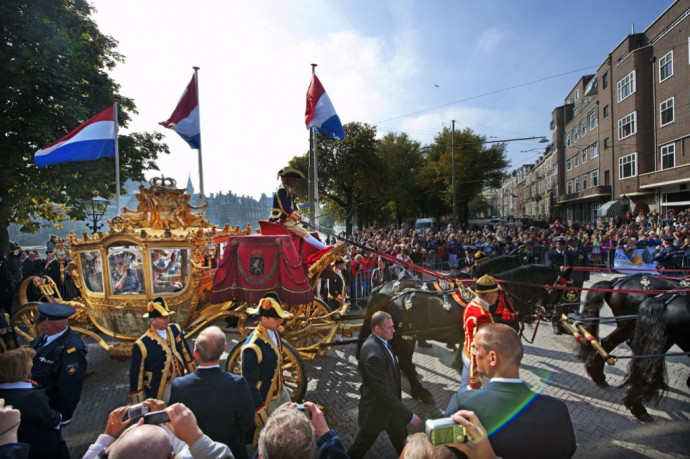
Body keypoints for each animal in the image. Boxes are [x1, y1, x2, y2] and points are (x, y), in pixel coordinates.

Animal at [358, 264, 568, 404]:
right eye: (561, 290)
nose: (557, 315)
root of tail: (390, 297)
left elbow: (463, 346)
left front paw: (460, 365)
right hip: (406, 338)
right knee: (406, 363)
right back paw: (421, 391)